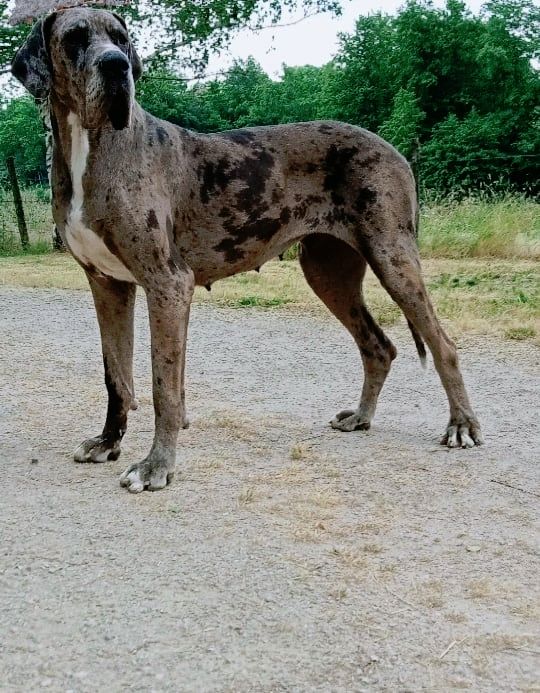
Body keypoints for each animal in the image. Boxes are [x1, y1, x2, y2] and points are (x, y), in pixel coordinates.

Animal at [12, 6, 484, 492]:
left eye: (121, 39)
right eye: (75, 37)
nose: (116, 66)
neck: (91, 144)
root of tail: (396, 151)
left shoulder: (168, 283)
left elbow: (164, 386)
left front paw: (156, 465)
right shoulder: (107, 285)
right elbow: (116, 377)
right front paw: (108, 442)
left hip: (394, 258)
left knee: (443, 345)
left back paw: (462, 426)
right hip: (328, 272)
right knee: (378, 346)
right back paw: (361, 417)